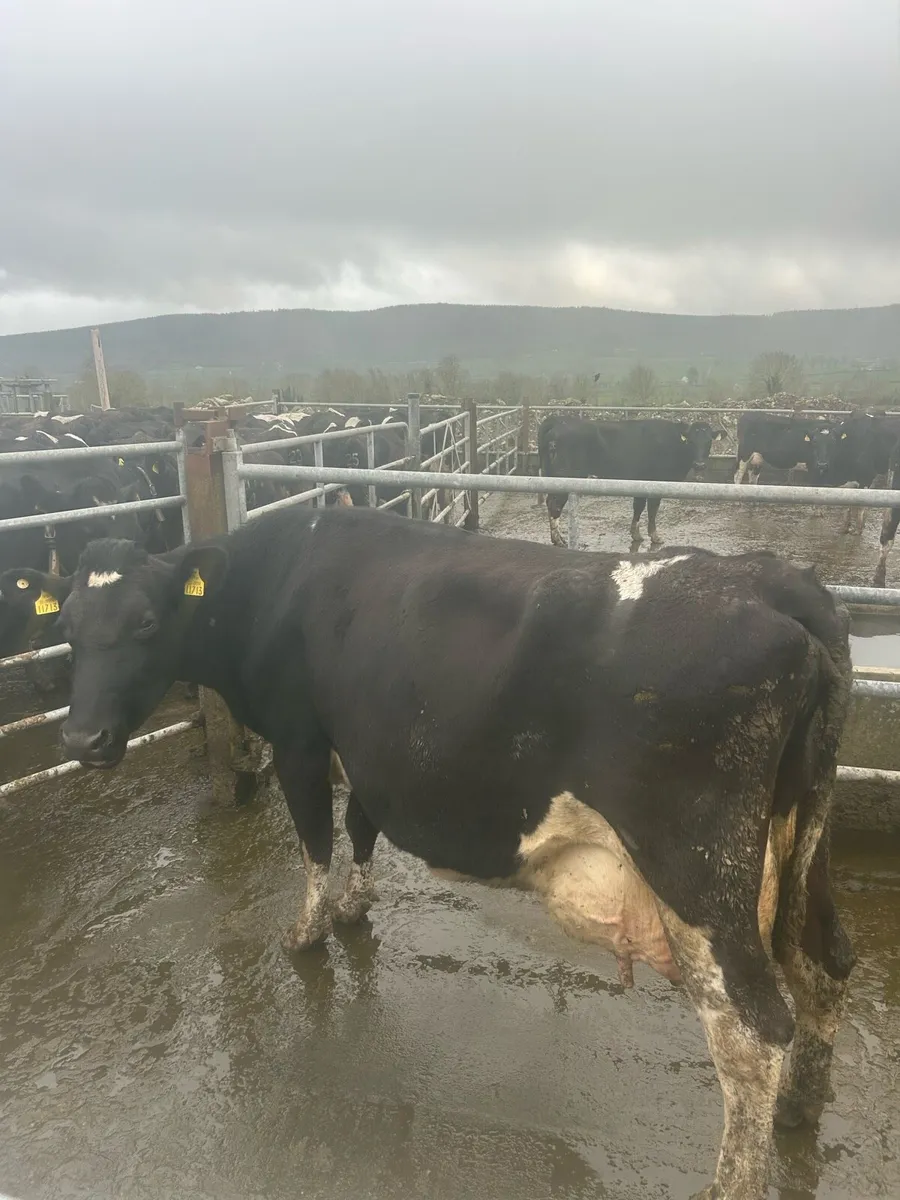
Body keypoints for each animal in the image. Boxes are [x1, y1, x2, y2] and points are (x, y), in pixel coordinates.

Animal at [3, 505, 854, 1200]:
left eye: (147, 622)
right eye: (69, 623)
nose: (81, 740)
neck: (276, 579)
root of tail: (774, 581)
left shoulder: (301, 739)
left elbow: (314, 839)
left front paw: (306, 932)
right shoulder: (368, 749)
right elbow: (360, 826)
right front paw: (355, 907)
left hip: (699, 867)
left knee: (751, 1027)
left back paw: (734, 1177)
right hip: (800, 846)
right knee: (825, 963)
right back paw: (799, 1109)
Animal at [538, 415, 723, 548]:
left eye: (709, 441)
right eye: (691, 441)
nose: (699, 465)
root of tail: (559, 421)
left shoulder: (640, 482)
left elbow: (638, 507)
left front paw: (636, 534)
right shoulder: (656, 483)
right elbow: (652, 509)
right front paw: (655, 536)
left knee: (550, 502)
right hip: (565, 477)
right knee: (555, 504)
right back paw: (558, 540)